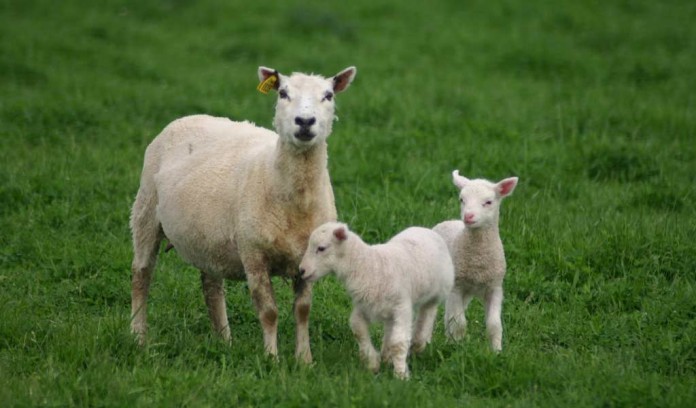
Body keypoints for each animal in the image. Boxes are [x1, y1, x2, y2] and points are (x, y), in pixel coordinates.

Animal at [129, 66, 357, 363]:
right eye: (283, 93)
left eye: (328, 95)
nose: (305, 121)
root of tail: (191, 116)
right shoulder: (253, 254)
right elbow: (269, 311)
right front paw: (271, 359)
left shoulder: (308, 259)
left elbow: (303, 310)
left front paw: (304, 360)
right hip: (145, 210)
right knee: (141, 274)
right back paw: (138, 337)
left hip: (207, 237)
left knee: (211, 287)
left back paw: (224, 341)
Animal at [299, 222, 455, 379]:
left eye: (321, 248)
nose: (301, 270)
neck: (371, 266)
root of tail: (426, 229)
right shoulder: (363, 307)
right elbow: (358, 330)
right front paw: (373, 363)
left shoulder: (402, 307)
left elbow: (398, 342)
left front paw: (400, 374)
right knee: (390, 328)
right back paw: (387, 355)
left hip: (437, 291)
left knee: (427, 312)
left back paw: (418, 343)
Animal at [433, 170, 518, 352]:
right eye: (462, 199)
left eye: (488, 202)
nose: (468, 216)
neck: (478, 259)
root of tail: (448, 221)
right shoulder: (457, 286)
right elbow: (459, 322)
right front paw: (458, 347)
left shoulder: (494, 287)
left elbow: (494, 324)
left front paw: (496, 350)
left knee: (448, 313)